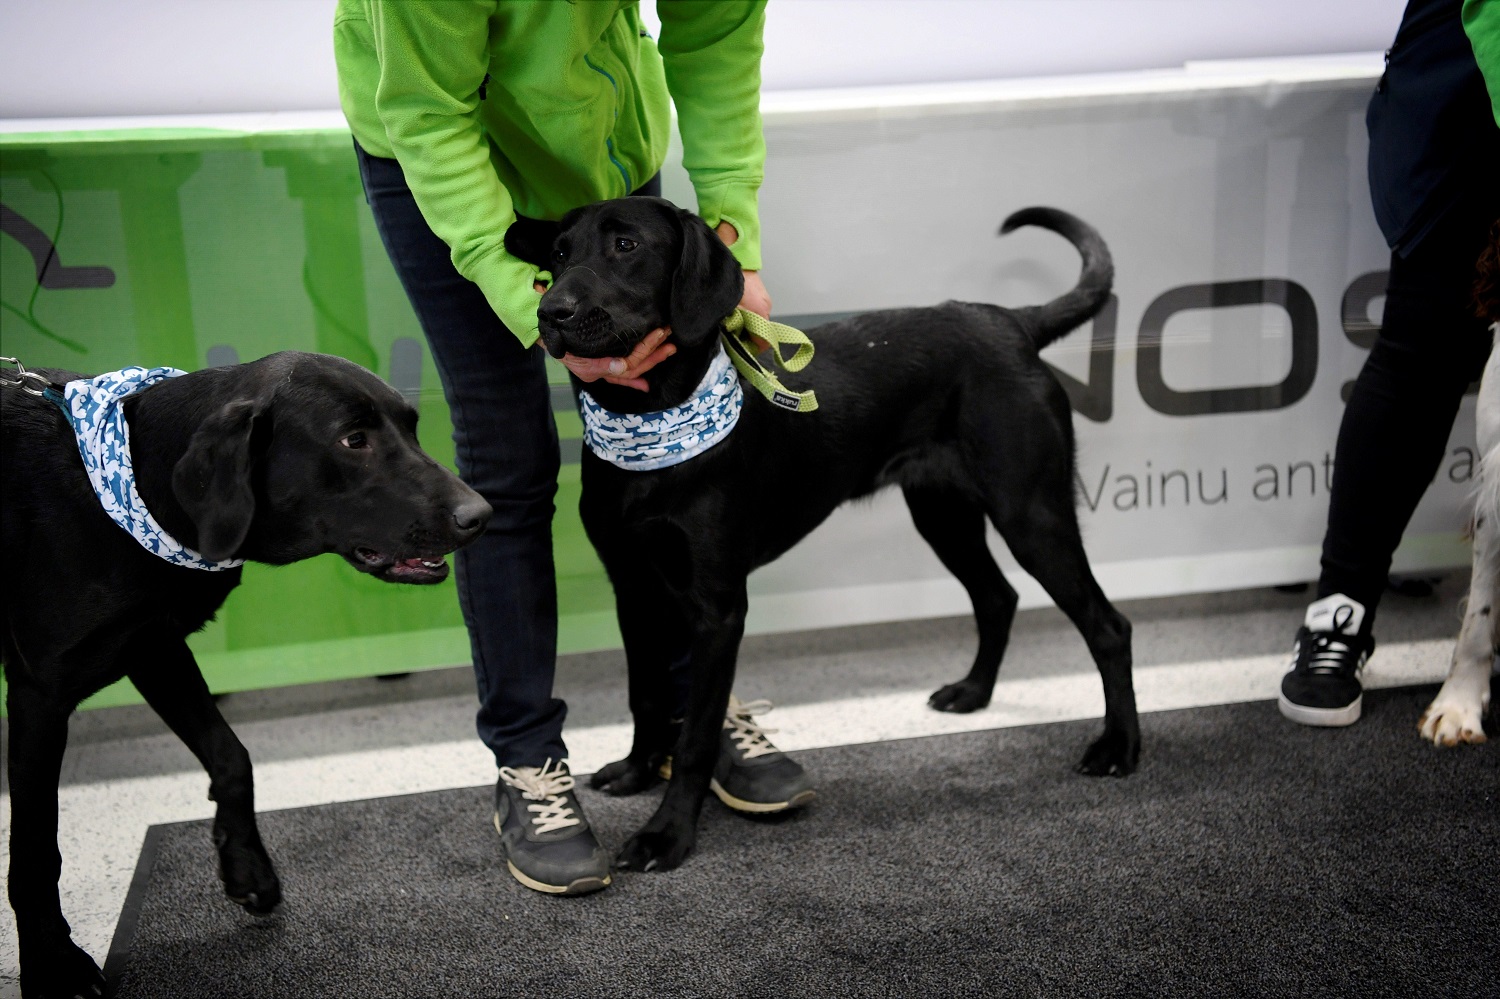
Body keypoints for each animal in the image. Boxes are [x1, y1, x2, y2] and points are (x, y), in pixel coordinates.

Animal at [1, 349, 486, 996]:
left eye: (411, 426)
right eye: (352, 439)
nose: (481, 514)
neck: (136, 485)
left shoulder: (154, 647)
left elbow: (232, 755)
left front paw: (246, 865)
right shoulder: (40, 695)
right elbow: (35, 848)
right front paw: (55, 963)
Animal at [510, 201, 1140, 870]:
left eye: (626, 245)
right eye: (557, 255)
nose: (551, 313)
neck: (648, 430)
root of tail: (1010, 321)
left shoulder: (717, 608)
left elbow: (698, 735)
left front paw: (668, 833)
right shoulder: (634, 588)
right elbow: (647, 696)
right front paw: (635, 770)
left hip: (1031, 514)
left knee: (1108, 626)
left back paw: (1119, 747)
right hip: (943, 515)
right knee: (999, 596)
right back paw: (973, 692)